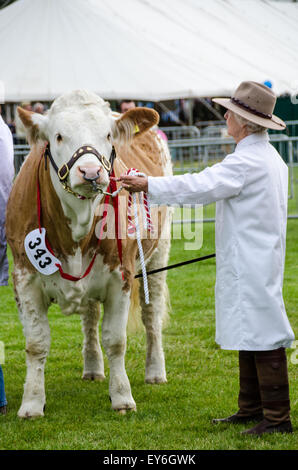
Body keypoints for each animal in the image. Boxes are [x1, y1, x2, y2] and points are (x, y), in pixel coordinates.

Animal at [5, 90, 171, 416]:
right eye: (57, 136)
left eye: (107, 135)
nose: (91, 172)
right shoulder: (24, 280)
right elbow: (36, 343)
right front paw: (31, 402)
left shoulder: (120, 277)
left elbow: (116, 340)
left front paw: (122, 397)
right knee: (91, 317)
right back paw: (93, 368)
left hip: (158, 254)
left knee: (151, 315)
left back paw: (155, 371)